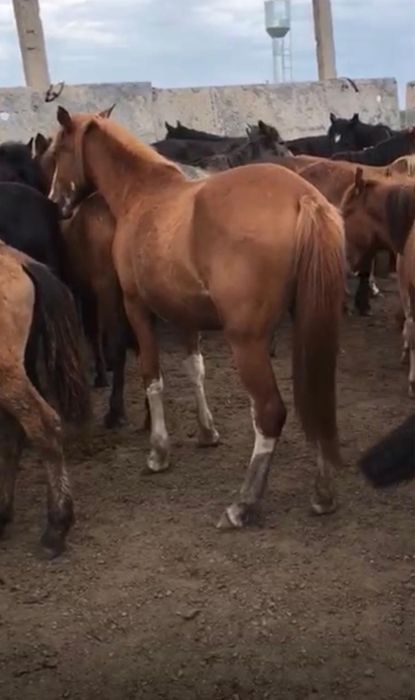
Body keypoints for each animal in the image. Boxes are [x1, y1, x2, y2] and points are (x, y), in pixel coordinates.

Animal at [48, 105, 346, 528]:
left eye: (58, 151)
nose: (56, 201)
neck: (143, 195)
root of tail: (303, 197)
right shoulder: (183, 313)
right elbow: (196, 369)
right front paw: (207, 432)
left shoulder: (137, 307)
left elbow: (152, 377)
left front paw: (158, 452)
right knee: (316, 398)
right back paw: (322, 494)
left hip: (246, 341)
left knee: (270, 412)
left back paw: (244, 503)